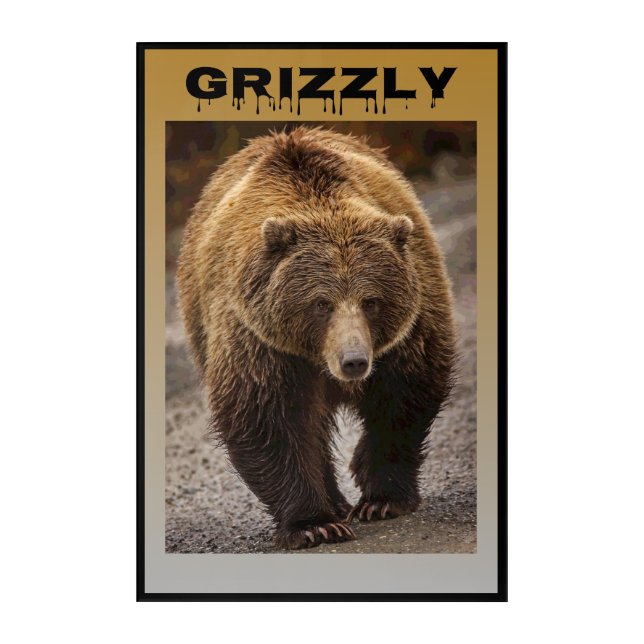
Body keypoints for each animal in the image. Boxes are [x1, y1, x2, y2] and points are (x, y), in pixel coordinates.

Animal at [176, 126, 456, 549]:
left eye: (371, 300)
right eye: (321, 303)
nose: (354, 360)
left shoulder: (410, 325)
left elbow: (406, 393)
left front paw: (381, 499)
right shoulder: (258, 338)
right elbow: (265, 417)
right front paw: (314, 524)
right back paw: (334, 503)